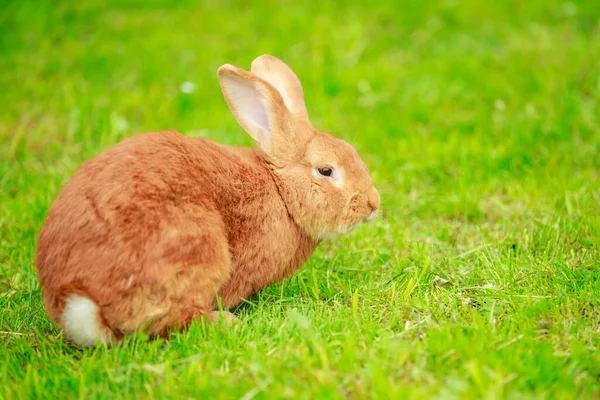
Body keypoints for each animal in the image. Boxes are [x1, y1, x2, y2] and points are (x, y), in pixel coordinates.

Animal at [35, 54, 380, 346]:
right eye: (326, 171)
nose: (372, 203)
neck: (281, 192)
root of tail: (79, 298)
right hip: (195, 247)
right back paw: (225, 322)